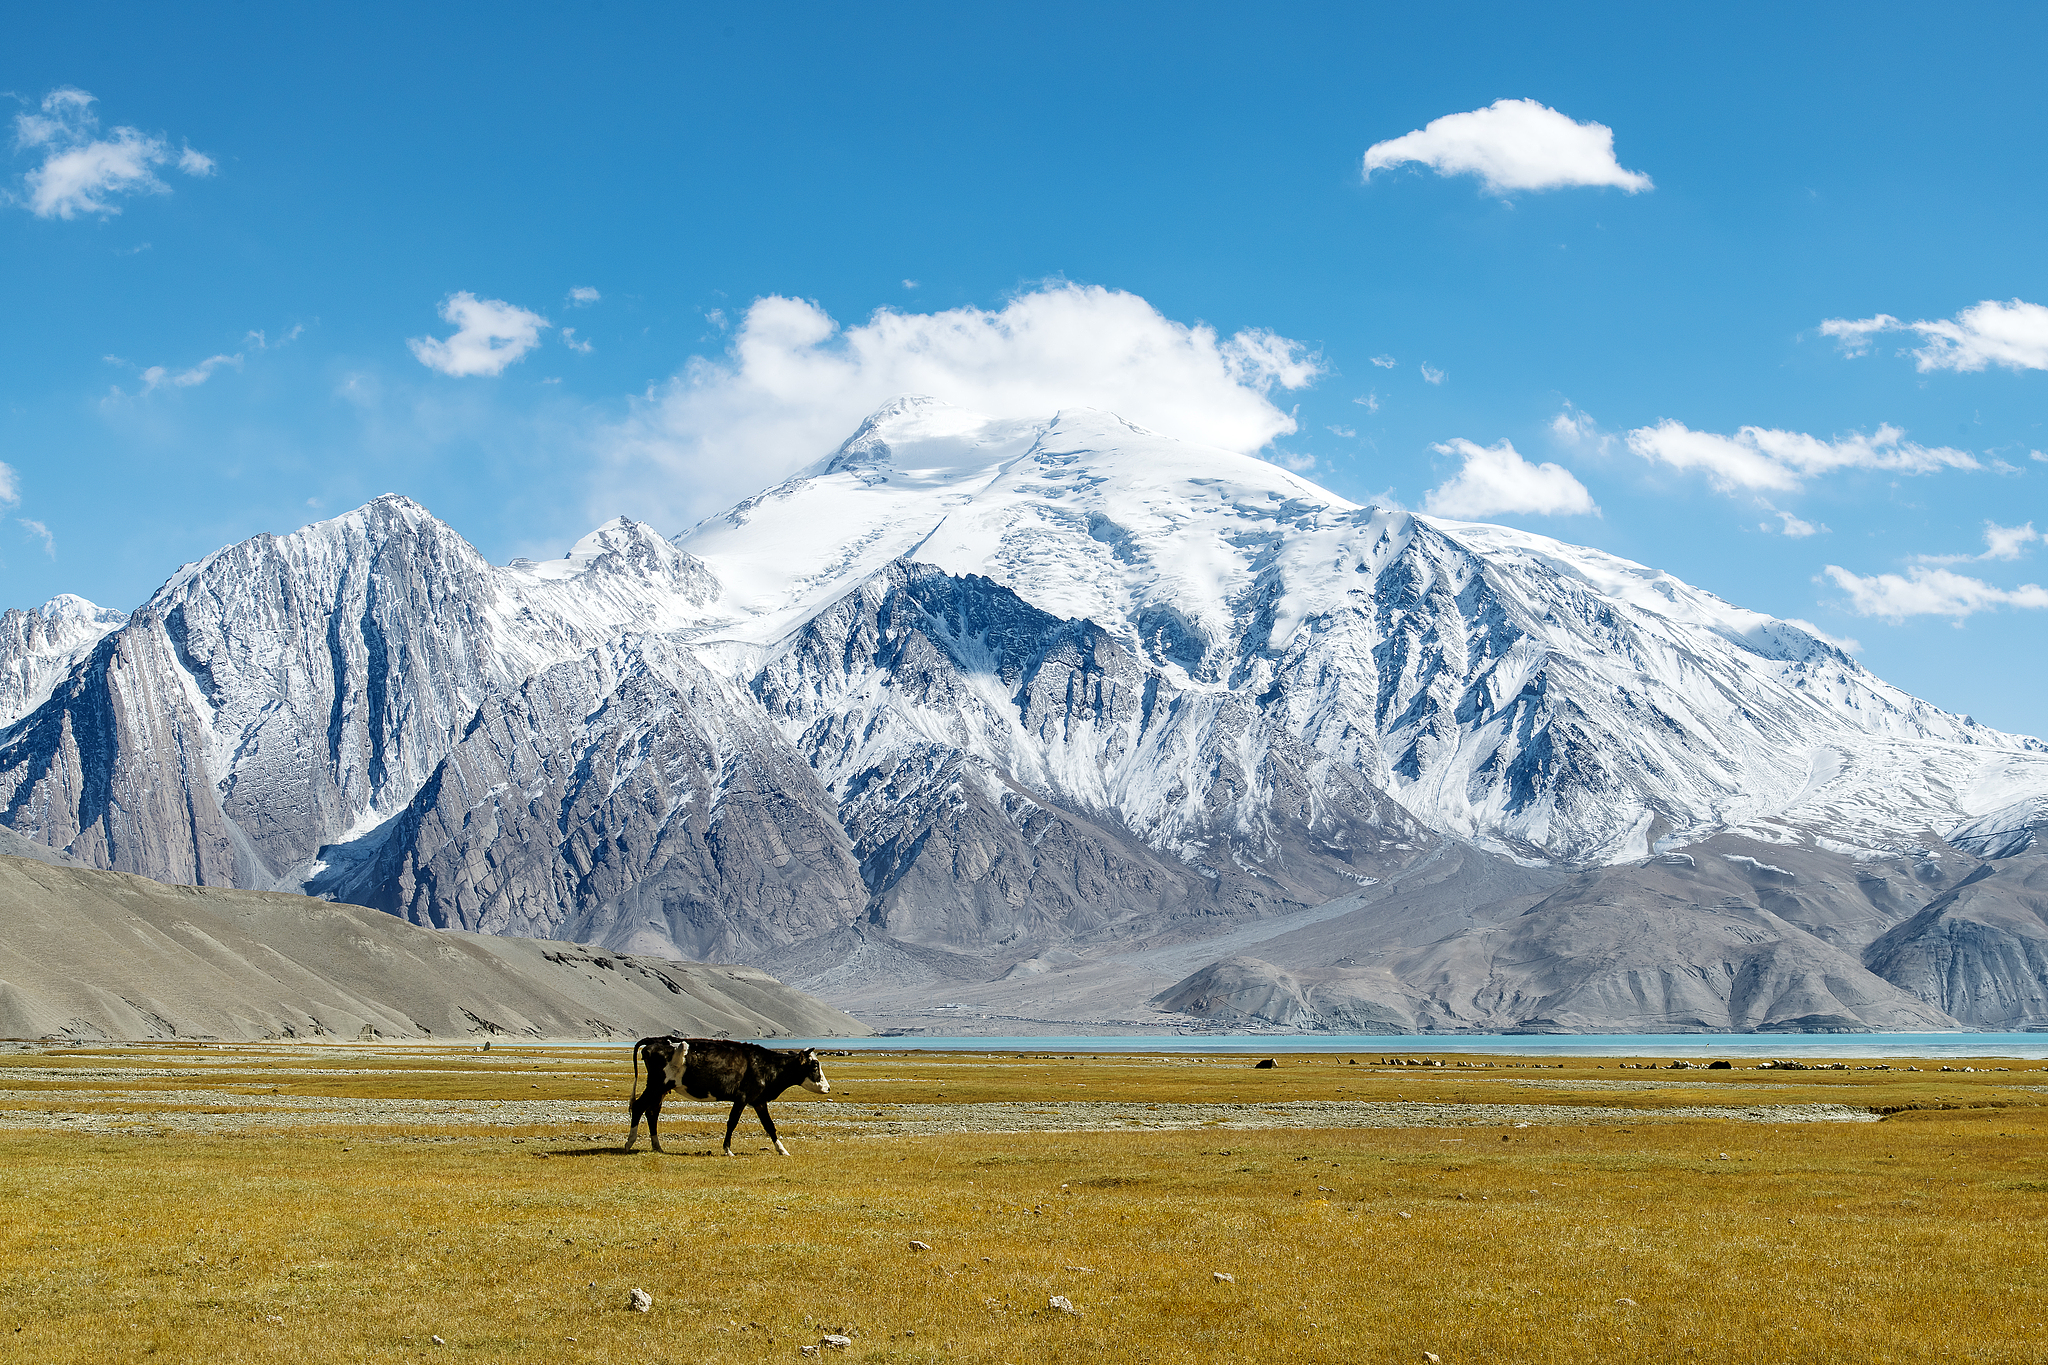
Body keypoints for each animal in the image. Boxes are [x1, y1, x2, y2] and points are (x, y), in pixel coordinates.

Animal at [618, 1039, 827, 1162]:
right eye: (815, 1065)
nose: (828, 1088)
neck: (768, 1066)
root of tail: (655, 1042)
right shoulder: (742, 1097)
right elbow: (732, 1122)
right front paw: (728, 1150)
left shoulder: (759, 1100)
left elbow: (769, 1125)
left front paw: (782, 1150)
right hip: (656, 1084)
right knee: (638, 1106)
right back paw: (629, 1143)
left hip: (661, 1089)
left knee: (652, 1111)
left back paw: (657, 1146)